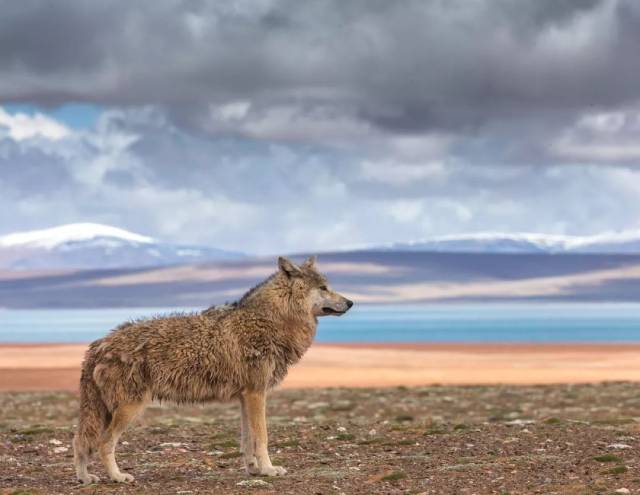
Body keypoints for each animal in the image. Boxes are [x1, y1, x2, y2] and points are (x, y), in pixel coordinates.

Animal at [75, 256, 356, 484]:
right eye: (323, 288)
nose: (351, 302)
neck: (272, 320)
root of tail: (98, 345)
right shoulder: (257, 394)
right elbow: (262, 437)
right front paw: (269, 469)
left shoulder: (246, 396)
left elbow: (247, 439)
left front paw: (253, 469)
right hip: (129, 409)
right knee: (102, 443)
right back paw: (117, 477)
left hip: (105, 411)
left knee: (80, 441)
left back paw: (85, 478)